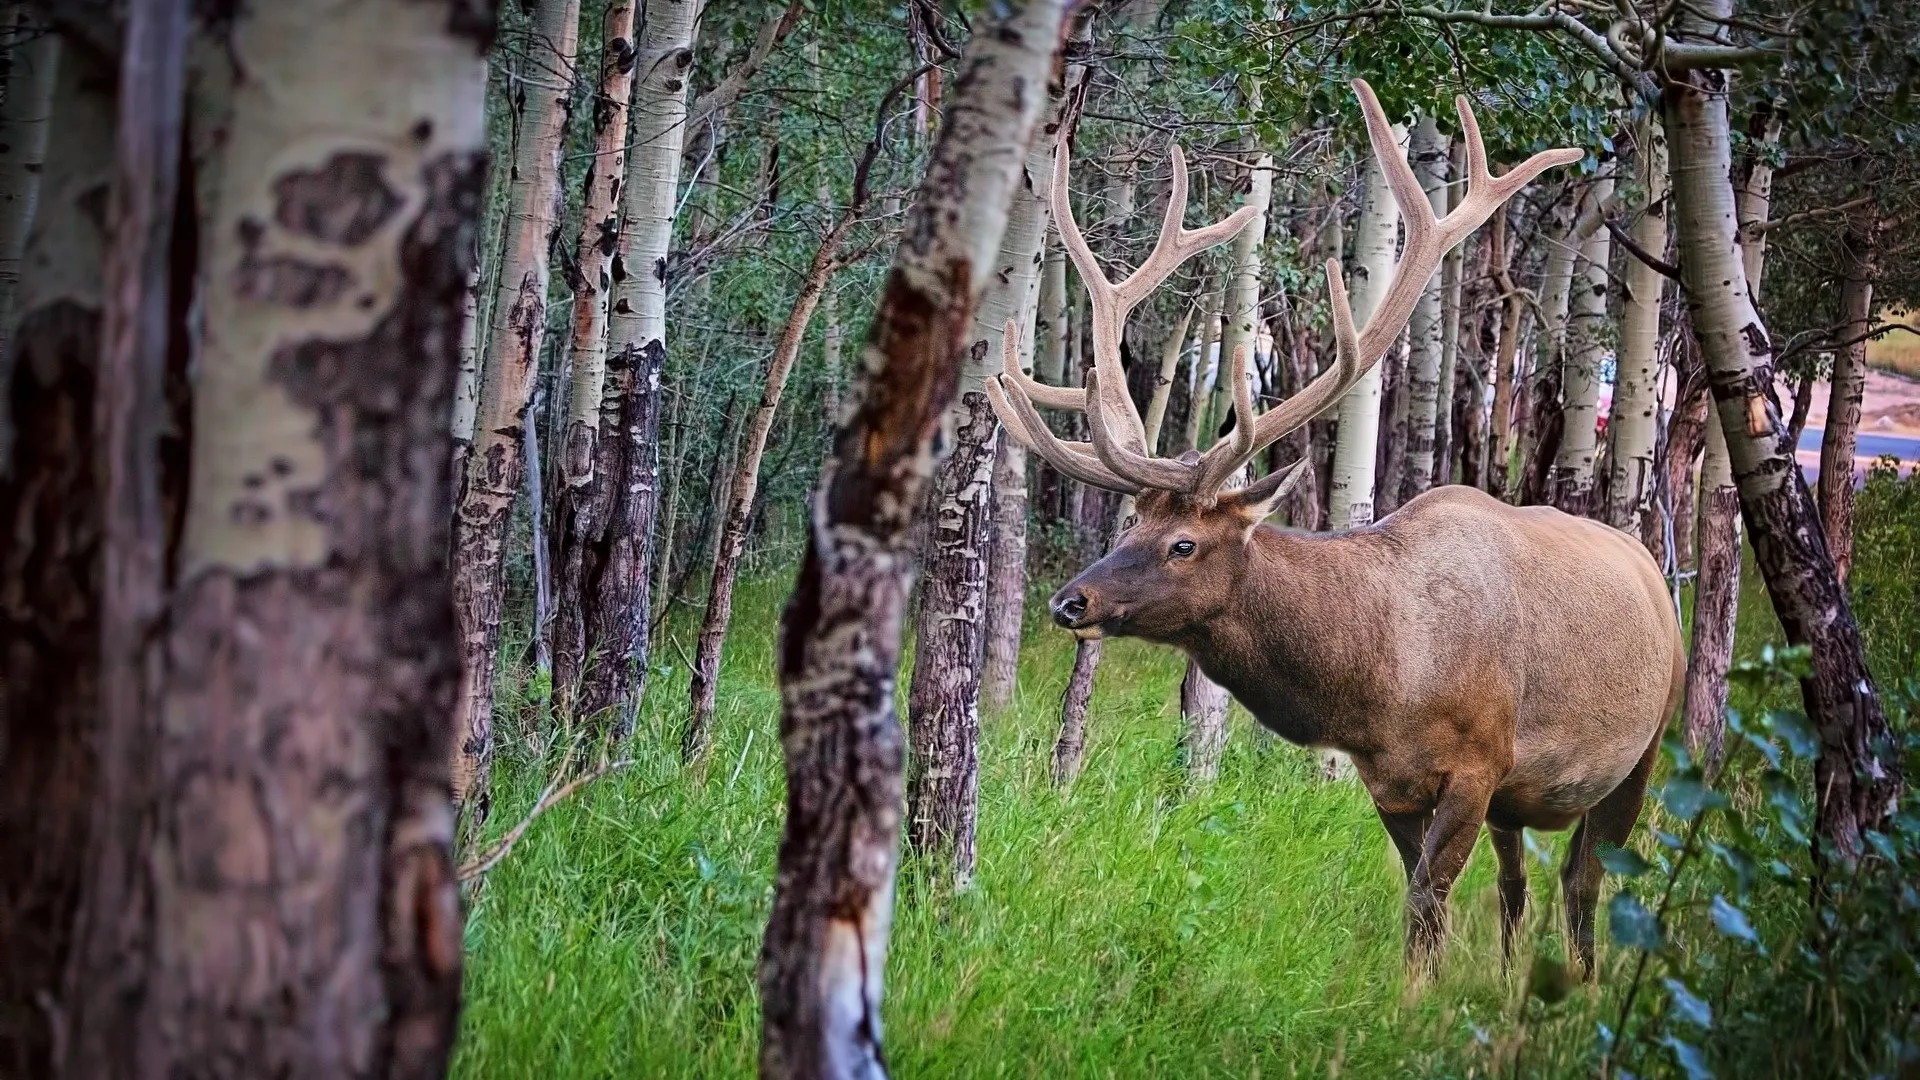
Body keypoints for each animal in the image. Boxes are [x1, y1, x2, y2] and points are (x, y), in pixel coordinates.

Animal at [988, 80, 1685, 975]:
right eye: (1130, 523)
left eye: (1183, 544)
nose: (1070, 602)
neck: (1382, 685)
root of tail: (1652, 570)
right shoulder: (1391, 781)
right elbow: (1426, 906)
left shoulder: (1480, 761)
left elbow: (1425, 905)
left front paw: (1415, 1001)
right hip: (1524, 799)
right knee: (1518, 885)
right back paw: (1510, 982)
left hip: (1645, 744)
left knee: (1585, 881)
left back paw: (1582, 987)